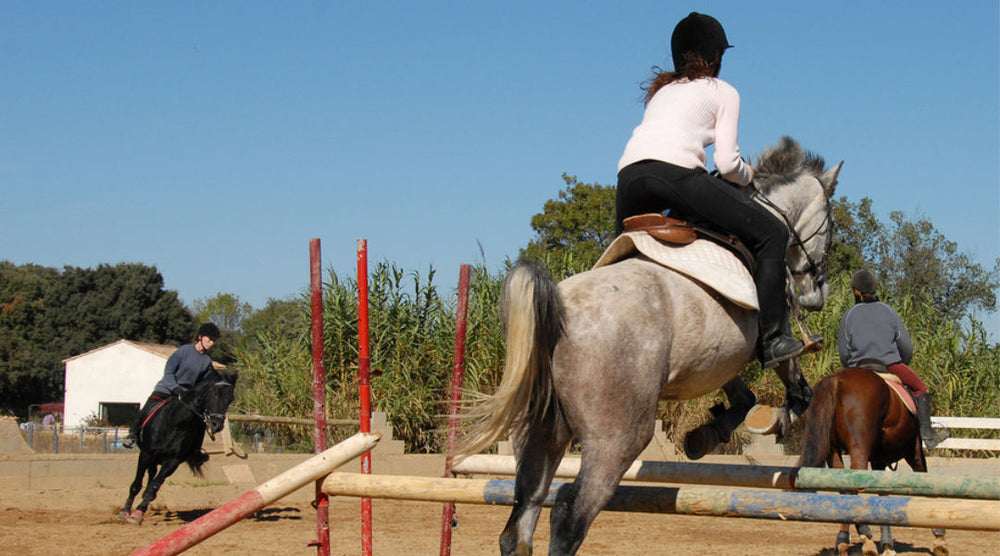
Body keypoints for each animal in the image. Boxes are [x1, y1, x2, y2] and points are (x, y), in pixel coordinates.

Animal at [117, 372, 238, 524]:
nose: (217, 425)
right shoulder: (146, 454)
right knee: (149, 474)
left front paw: (139, 511)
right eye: (214, 393)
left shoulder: (173, 461)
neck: (177, 423)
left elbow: (154, 486)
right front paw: (125, 512)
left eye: (230, 399)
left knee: (152, 477)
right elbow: (136, 485)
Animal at [458, 137, 840, 552]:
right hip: (617, 437)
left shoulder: (719, 357)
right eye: (830, 227)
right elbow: (797, 387)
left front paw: (704, 436)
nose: (818, 295)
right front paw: (774, 422)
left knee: (522, 516)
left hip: (539, 432)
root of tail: (556, 310)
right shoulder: (770, 333)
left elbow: (744, 397)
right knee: (569, 513)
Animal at [796, 370, 944, 556]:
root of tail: (837, 379)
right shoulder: (914, 452)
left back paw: (843, 541)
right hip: (860, 450)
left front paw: (888, 544)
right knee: (853, 487)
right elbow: (925, 481)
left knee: (844, 490)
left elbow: (883, 496)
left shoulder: (879, 461)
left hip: (833, 451)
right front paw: (939, 539)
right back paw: (865, 537)